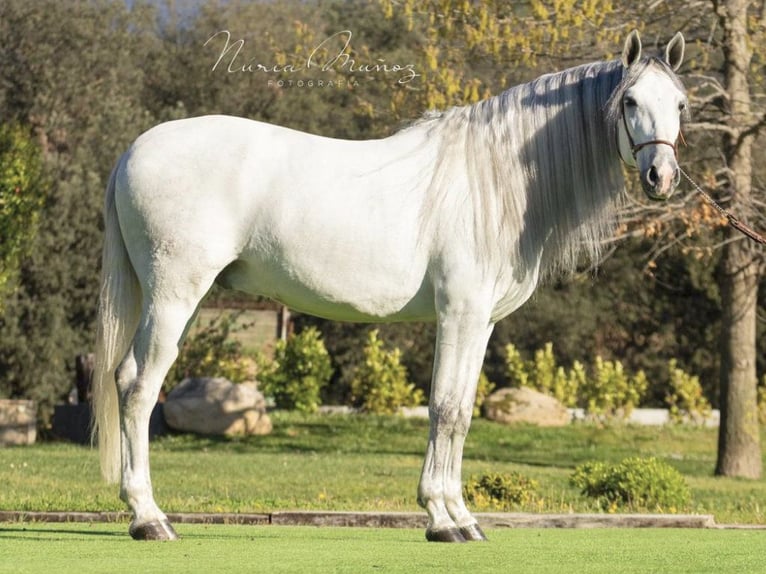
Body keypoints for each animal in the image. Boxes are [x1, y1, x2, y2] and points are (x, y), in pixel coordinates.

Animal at [93, 30, 688, 542]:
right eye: (630, 101)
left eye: (680, 104)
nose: (661, 178)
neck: (491, 182)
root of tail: (132, 152)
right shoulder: (458, 314)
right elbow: (443, 408)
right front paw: (442, 519)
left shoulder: (482, 324)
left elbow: (462, 413)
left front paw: (463, 518)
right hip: (174, 295)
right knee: (139, 387)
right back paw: (149, 518)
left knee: (129, 378)